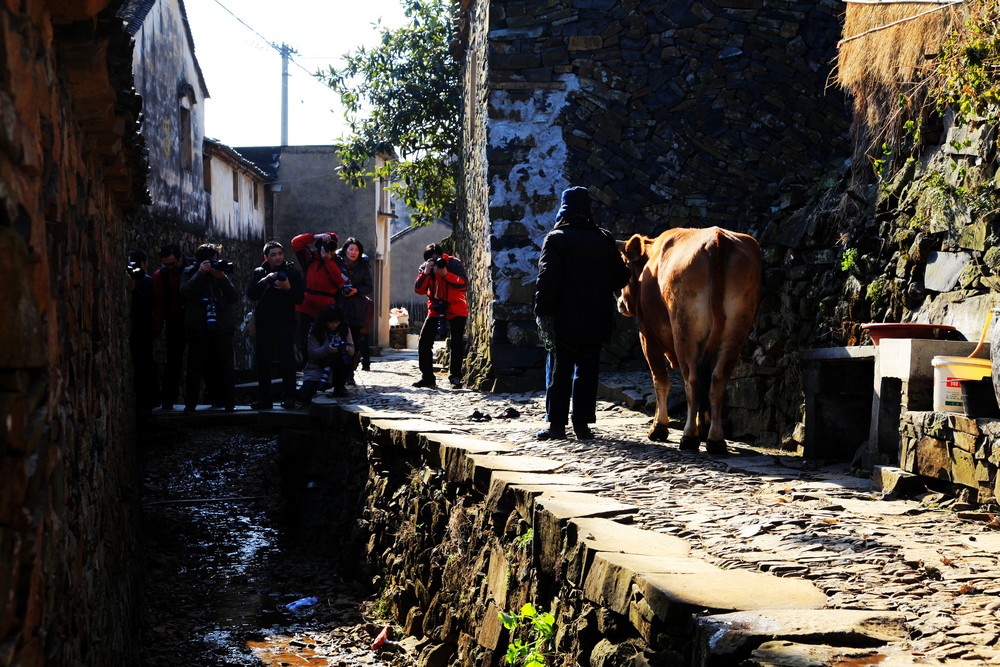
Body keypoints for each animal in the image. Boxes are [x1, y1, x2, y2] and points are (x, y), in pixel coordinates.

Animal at [612, 226, 760, 454]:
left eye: (625, 264)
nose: (620, 303)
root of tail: (718, 239)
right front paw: (703, 427)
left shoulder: (647, 336)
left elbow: (660, 381)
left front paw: (659, 428)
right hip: (735, 332)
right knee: (716, 381)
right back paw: (715, 438)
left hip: (684, 333)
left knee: (692, 381)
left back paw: (689, 437)